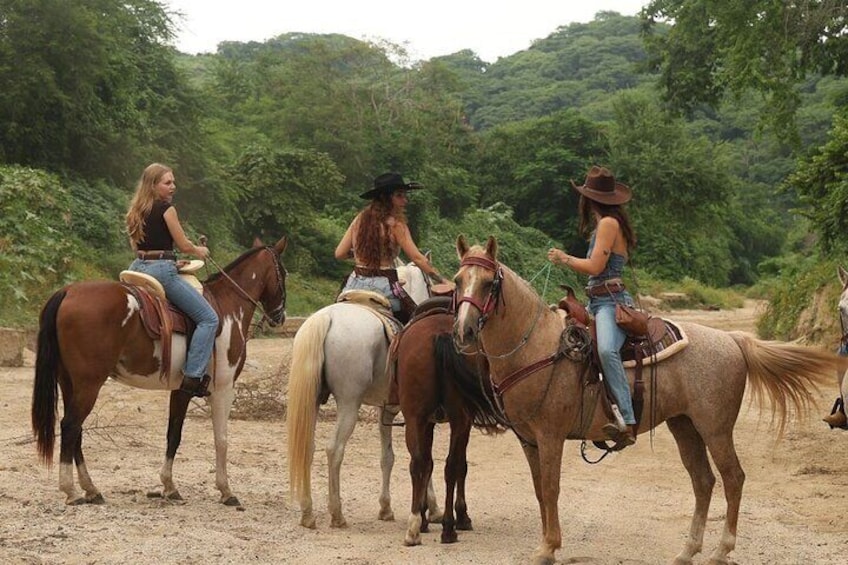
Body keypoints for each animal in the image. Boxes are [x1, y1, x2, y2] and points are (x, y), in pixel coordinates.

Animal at [31, 236, 288, 504]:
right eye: (284, 273)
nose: (279, 316)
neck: (228, 308)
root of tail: (68, 291)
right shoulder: (223, 390)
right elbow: (221, 439)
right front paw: (226, 490)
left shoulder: (183, 389)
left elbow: (173, 434)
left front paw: (169, 486)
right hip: (89, 383)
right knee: (70, 426)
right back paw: (71, 490)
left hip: (69, 382)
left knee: (76, 430)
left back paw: (91, 489)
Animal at [290, 262, 438, 528]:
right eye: (430, 284)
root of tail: (327, 318)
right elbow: (423, 457)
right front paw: (432, 508)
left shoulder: (386, 410)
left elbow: (387, 457)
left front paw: (386, 508)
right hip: (349, 404)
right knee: (334, 449)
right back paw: (337, 513)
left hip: (312, 403)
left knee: (307, 447)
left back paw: (307, 512)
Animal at [388, 304, 506, 548]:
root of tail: (438, 335)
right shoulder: (461, 422)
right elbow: (459, 465)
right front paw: (461, 516)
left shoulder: (429, 422)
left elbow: (430, 464)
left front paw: (424, 518)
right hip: (455, 419)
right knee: (449, 466)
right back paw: (448, 527)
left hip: (416, 419)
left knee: (419, 464)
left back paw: (414, 528)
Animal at [454, 236, 844, 564]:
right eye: (458, 281)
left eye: (488, 283)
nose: (464, 331)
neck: (538, 347)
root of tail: (732, 339)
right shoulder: (528, 440)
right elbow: (539, 491)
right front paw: (545, 544)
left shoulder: (551, 436)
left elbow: (551, 489)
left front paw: (548, 548)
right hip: (684, 426)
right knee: (703, 481)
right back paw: (687, 551)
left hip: (715, 428)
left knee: (733, 478)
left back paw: (721, 550)